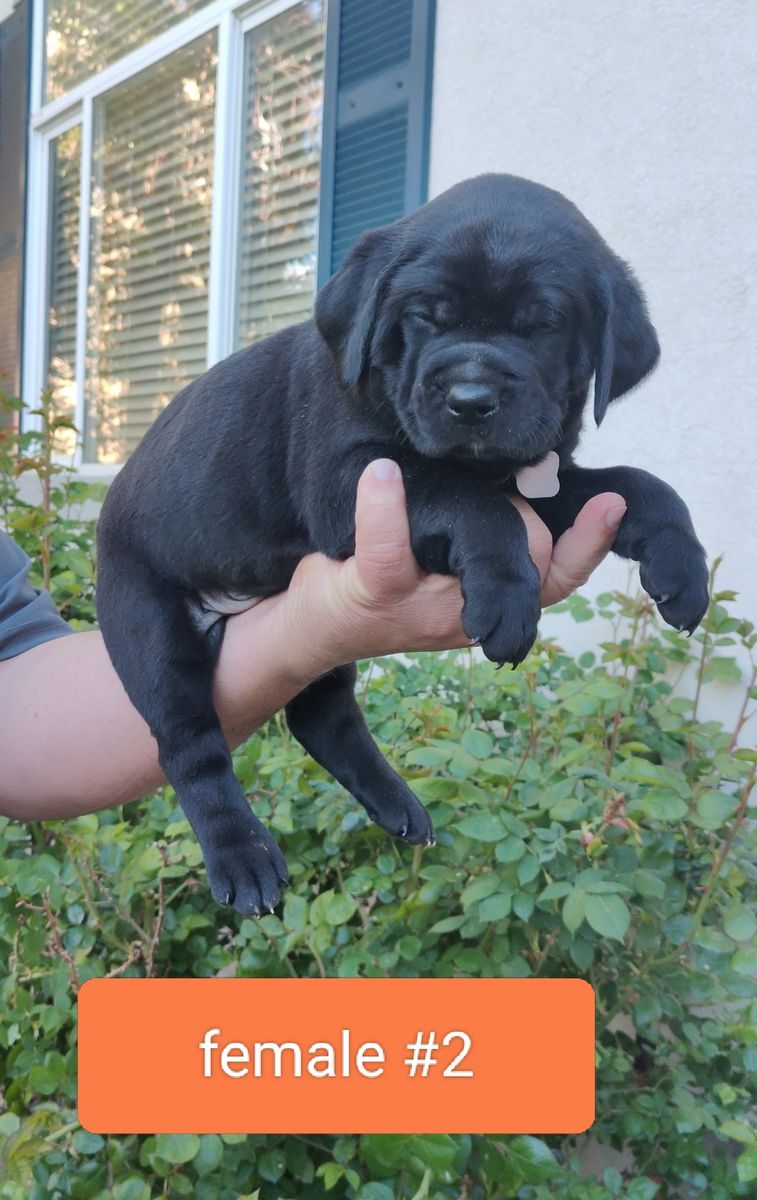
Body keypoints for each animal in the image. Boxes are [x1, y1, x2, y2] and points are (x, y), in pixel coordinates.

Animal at [96, 173, 709, 915]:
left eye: (543, 322)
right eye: (425, 316)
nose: (471, 399)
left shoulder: (538, 477)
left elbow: (636, 485)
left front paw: (681, 564)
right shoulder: (350, 483)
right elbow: (466, 497)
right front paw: (506, 596)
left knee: (320, 714)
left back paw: (395, 804)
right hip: (147, 620)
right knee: (187, 740)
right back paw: (242, 855)